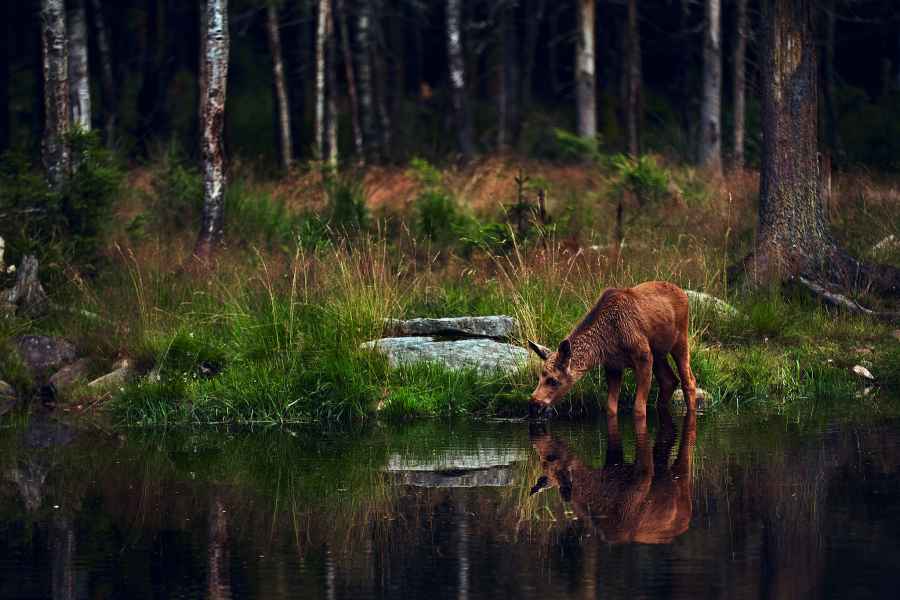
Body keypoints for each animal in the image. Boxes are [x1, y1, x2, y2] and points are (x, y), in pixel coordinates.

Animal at [526, 281, 697, 419]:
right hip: (659, 354)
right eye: (539, 376)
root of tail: (684, 294)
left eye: (554, 380)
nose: (533, 405)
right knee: (669, 380)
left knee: (689, 381)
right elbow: (611, 409)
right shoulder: (613, 366)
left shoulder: (644, 356)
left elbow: (639, 410)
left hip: (680, 341)